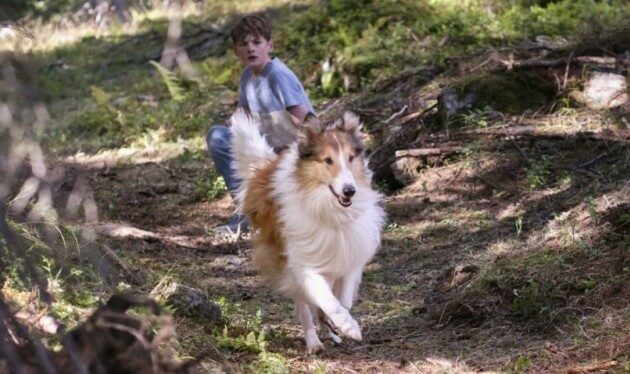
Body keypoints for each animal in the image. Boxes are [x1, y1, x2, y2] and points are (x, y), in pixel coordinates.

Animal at [231, 109, 386, 352]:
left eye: (351, 158)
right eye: (328, 160)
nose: (349, 191)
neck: (329, 209)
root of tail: (266, 168)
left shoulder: (350, 254)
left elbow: (344, 299)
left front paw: (337, 322)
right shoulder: (304, 264)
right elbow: (327, 299)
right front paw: (348, 325)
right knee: (303, 304)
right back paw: (313, 342)